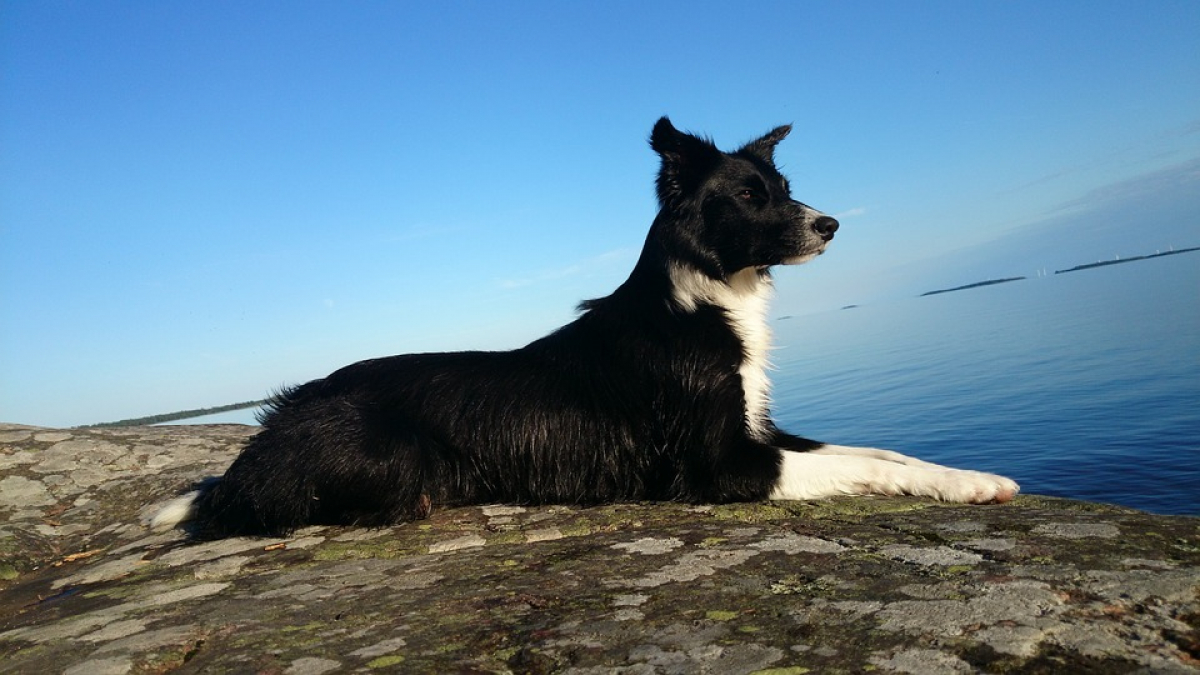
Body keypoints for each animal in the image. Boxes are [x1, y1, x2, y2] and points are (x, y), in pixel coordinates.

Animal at [147, 115, 1012, 535]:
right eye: (749, 195)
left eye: (786, 186)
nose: (831, 223)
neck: (705, 297)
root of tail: (267, 430)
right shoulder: (722, 464)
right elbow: (857, 464)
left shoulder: (758, 430)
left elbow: (880, 452)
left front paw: (972, 480)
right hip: (394, 452)